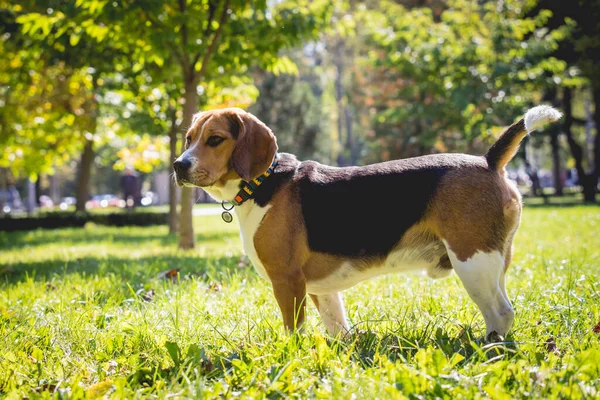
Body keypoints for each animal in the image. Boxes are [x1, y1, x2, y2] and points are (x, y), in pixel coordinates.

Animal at [173, 106, 564, 340]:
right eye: (188, 138)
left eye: (215, 139)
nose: (178, 165)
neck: (262, 183)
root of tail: (488, 161)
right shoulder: (320, 288)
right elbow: (337, 326)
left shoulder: (287, 281)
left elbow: (293, 330)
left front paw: (291, 356)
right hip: (492, 263)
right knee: (503, 307)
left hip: (472, 262)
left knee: (501, 312)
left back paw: (489, 347)